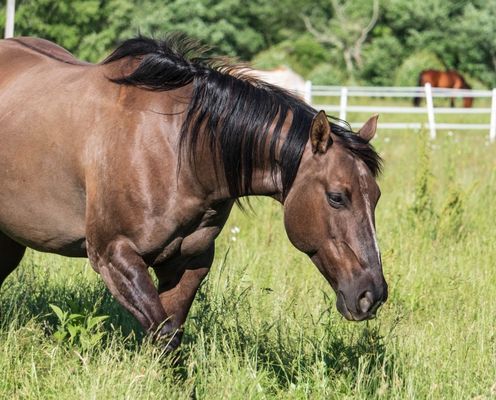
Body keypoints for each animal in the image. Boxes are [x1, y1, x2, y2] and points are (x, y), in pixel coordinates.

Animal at [0, 36, 388, 352]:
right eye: (337, 196)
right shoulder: (114, 256)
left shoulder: (188, 262)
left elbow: (170, 332)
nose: (372, 294)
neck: (177, 149)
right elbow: (163, 335)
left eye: (376, 197)